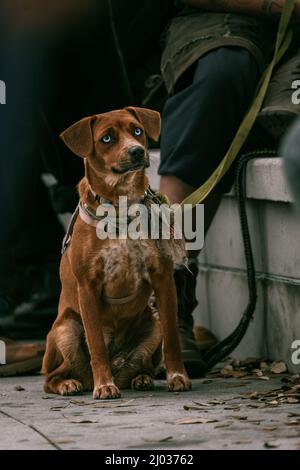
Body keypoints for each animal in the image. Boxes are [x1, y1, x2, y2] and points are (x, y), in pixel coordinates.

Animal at [41, 108, 191, 398]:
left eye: (137, 130)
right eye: (107, 138)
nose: (136, 151)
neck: (121, 205)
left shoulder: (163, 280)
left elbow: (172, 338)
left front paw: (178, 376)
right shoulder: (87, 288)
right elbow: (96, 343)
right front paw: (104, 385)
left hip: (151, 325)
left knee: (141, 363)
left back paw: (141, 378)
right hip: (65, 328)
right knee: (51, 377)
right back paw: (70, 383)